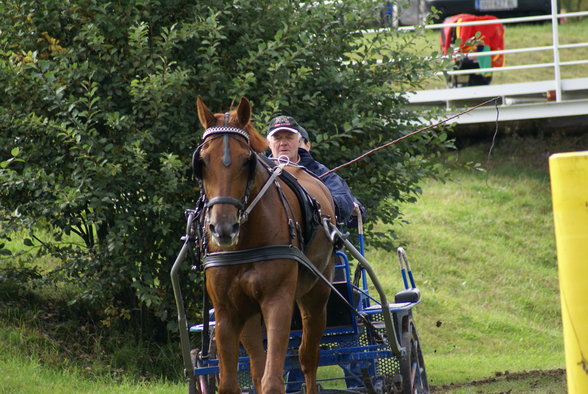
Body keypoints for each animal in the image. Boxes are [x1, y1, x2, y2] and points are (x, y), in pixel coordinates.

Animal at [194, 96, 336, 394]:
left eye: (247, 161)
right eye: (201, 161)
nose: (223, 228)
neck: (245, 244)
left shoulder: (278, 301)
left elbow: (273, 381)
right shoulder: (226, 311)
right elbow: (231, 383)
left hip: (316, 295)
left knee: (308, 357)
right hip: (249, 314)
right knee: (258, 368)